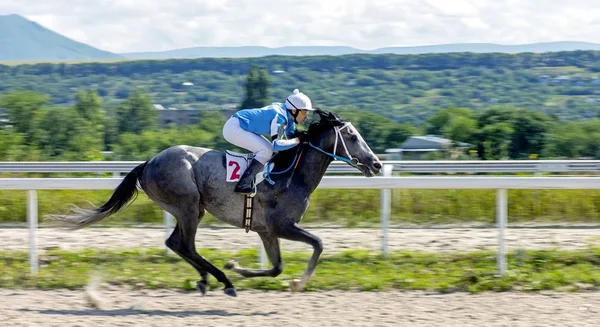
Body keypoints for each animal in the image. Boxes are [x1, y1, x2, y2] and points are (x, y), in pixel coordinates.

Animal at [50, 109, 380, 298]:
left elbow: (277, 267)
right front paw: (296, 283)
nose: (376, 164)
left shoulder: (266, 230)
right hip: (187, 205)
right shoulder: (281, 225)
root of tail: (148, 163)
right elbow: (318, 244)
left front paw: (243, 269)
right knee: (186, 245)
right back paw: (223, 280)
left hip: (189, 209)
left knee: (175, 243)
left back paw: (206, 279)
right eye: (352, 136)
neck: (292, 174)